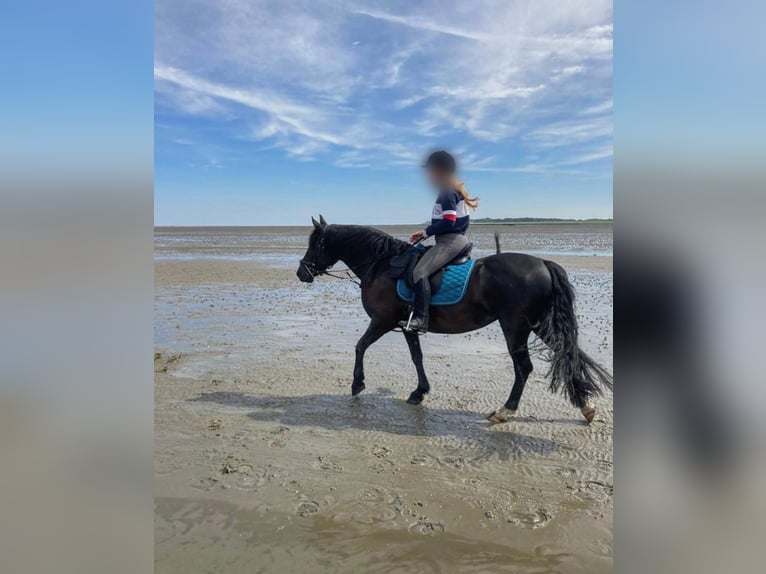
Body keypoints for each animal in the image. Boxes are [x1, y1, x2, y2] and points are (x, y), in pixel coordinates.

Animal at [296, 216, 616, 424]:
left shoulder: (383, 321)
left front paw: (357, 384)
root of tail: (543, 264)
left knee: (524, 367)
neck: (383, 265)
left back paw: (505, 410)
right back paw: (586, 406)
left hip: (516, 326)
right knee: (568, 353)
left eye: (315, 243)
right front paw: (419, 392)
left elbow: (360, 346)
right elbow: (416, 357)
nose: (301, 273)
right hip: (539, 324)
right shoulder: (407, 325)